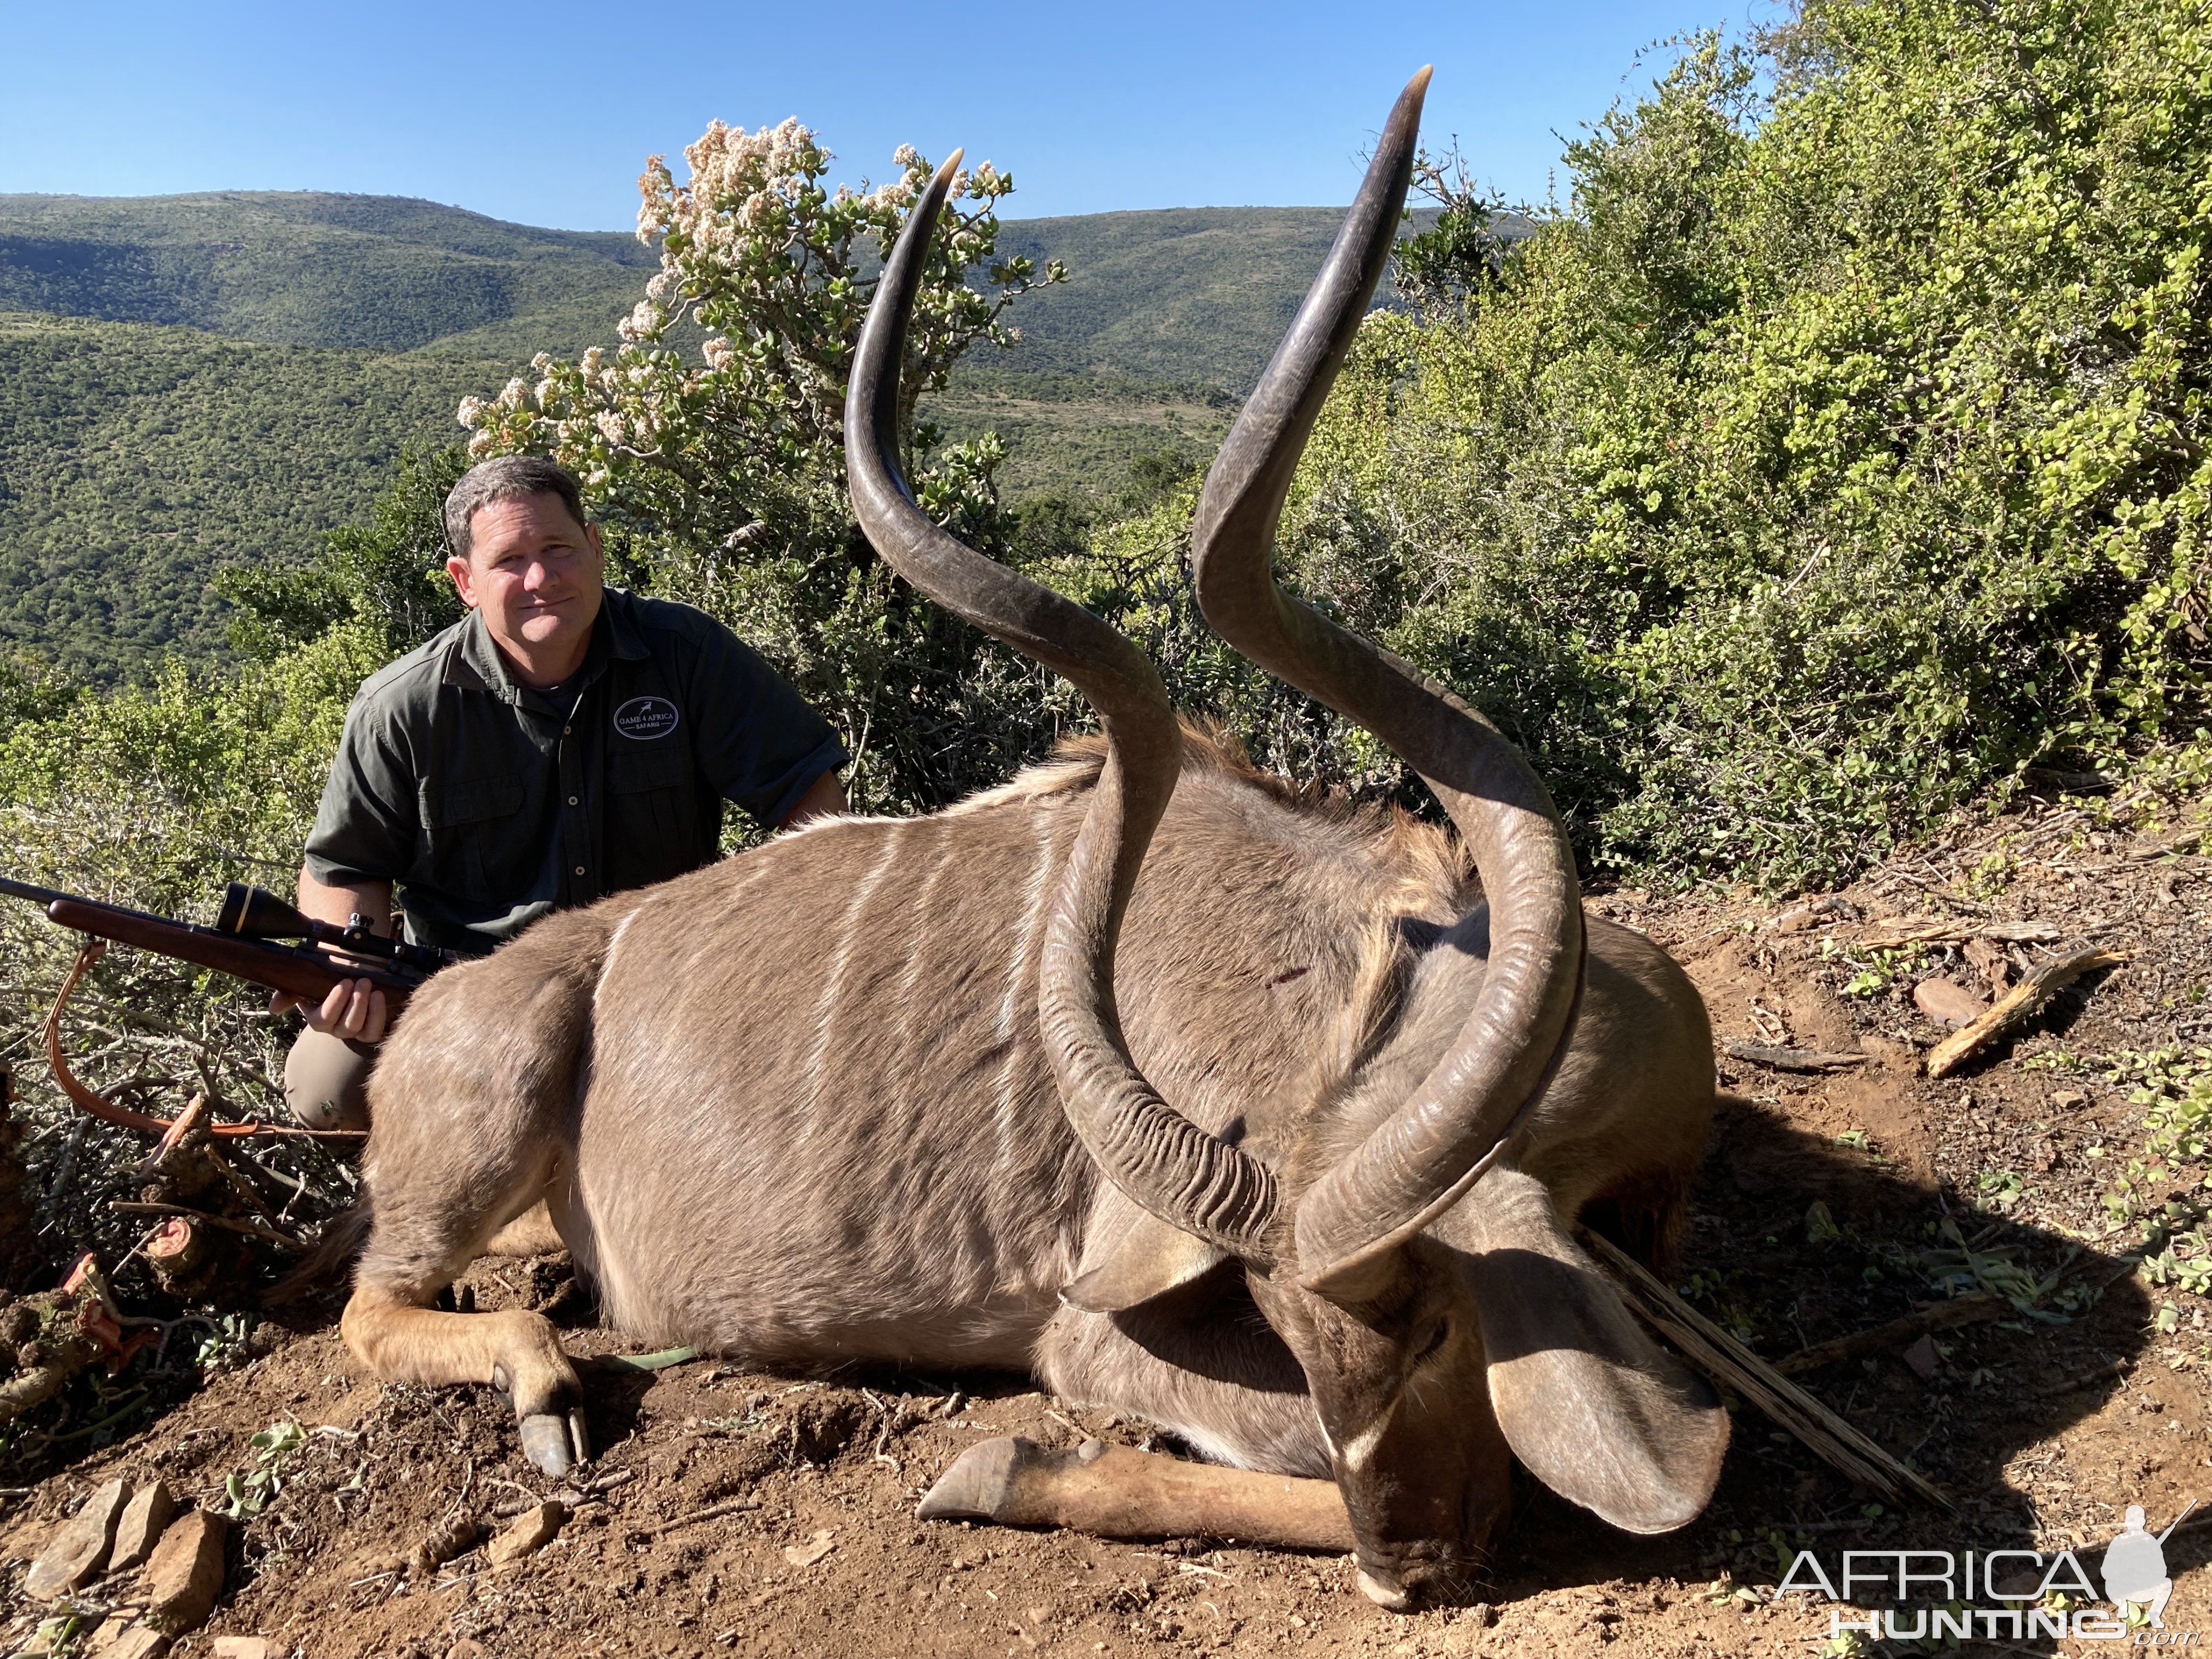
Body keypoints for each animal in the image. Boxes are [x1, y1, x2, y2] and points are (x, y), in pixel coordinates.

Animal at [345, 71, 1725, 1601]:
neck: (1361, 973)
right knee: (372, 1305)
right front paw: (1003, 1469)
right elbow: (1251, 1443)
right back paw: (542, 1386)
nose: (1410, 1562)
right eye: (1301, 1331)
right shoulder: (1091, 1324)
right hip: (490, 1101)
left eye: (1432, 1329)